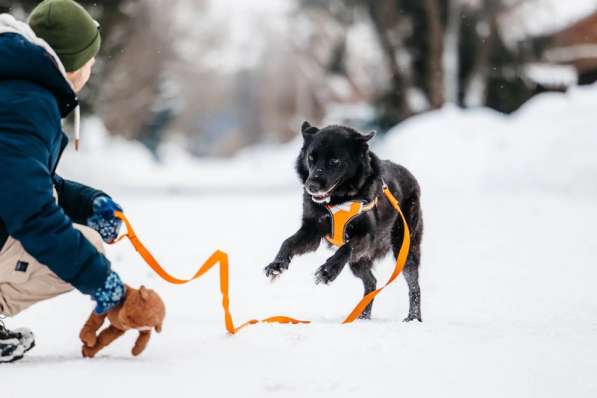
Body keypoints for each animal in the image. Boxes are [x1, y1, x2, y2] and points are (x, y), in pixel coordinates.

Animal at [262, 120, 424, 320]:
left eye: (334, 161)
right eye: (311, 158)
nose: (311, 186)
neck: (339, 199)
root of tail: (409, 175)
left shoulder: (366, 237)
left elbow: (347, 247)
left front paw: (328, 271)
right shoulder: (312, 231)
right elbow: (288, 242)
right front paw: (277, 264)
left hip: (404, 247)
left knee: (413, 284)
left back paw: (413, 317)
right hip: (358, 262)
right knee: (371, 281)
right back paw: (362, 317)